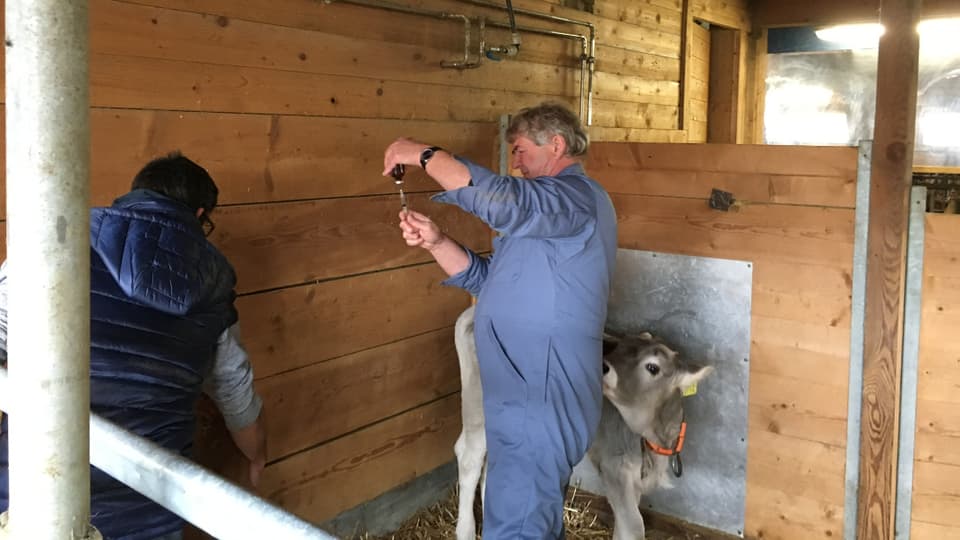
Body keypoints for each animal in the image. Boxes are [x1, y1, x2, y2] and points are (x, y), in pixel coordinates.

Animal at [454, 308, 708, 540]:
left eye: (653, 367)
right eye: (620, 348)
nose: (603, 366)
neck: (654, 439)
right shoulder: (614, 467)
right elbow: (634, 526)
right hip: (480, 404)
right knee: (468, 458)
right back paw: (466, 531)